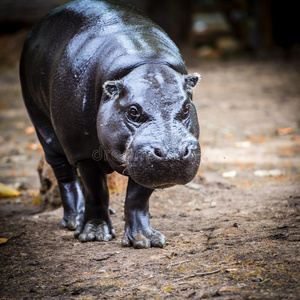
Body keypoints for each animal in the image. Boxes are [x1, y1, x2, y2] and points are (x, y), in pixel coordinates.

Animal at [19, 0, 202, 248]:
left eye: (185, 108)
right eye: (133, 111)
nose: (172, 154)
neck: (146, 61)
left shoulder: (140, 157)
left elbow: (137, 198)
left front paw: (145, 240)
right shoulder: (84, 151)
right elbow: (97, 190)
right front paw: (94, 235)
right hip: (43, 125)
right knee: (63, 170)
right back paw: (75, 221)